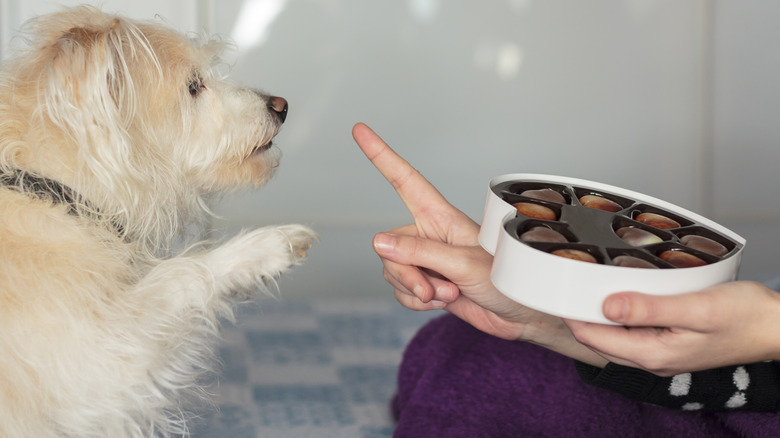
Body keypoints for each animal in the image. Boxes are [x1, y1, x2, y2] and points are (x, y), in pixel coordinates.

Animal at [0, 5, 316, 436]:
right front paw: (263, 248)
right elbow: (180, 274)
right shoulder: (97, 360)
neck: (54, 189)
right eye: (194, 86)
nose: (281, 106)